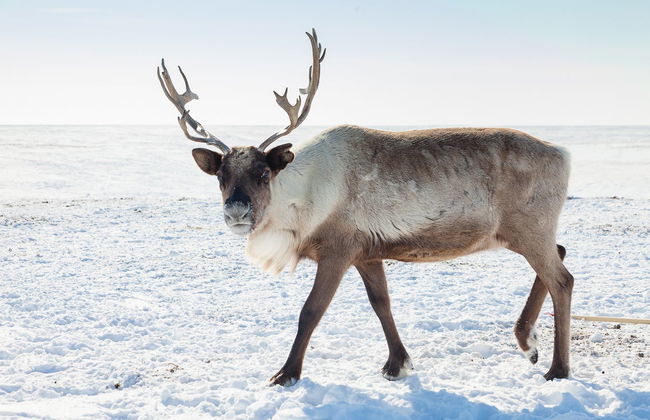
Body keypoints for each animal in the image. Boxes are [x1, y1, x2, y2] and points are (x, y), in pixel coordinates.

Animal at [157, 29, 574, 386]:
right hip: (524, 233)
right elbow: (381, 303)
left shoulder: (337, 250)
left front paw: (286, 373)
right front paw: (397, 363)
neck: (299, 201)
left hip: (529, 228)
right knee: (561, 253)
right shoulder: (367, 252)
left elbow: (311, 311)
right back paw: (528, 343)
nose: (237, 213)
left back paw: (557, 367)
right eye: (220, 175)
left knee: (563, 279)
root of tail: (563, 154)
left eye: (263, 173)